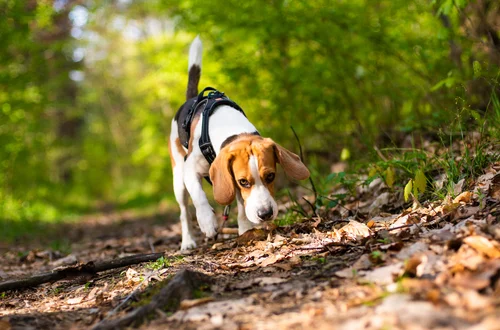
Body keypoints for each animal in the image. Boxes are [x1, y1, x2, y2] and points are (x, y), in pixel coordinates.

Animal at [169, 36, 308, 250]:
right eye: (244, 181)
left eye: (271, 176)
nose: (265, 214)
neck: (232, 128)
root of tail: (191, 99)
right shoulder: (191, 169)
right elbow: (199, 196)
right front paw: (208, 222)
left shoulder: (230, 179)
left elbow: (242, 206)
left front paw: (245, 229)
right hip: (178, 178)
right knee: (184, 210)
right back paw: (188, 241)